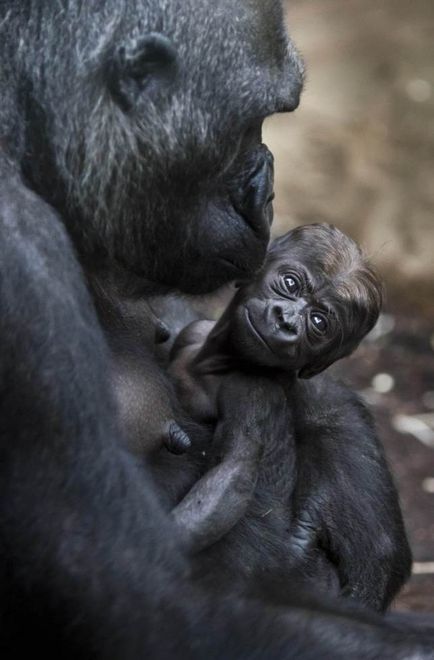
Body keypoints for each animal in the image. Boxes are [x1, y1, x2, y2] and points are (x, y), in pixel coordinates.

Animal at [170, 223, 410, 612]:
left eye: (318, 322)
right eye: (291, 284)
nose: (285, 321)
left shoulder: (250, 389)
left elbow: (233, 474)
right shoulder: (194, 331)